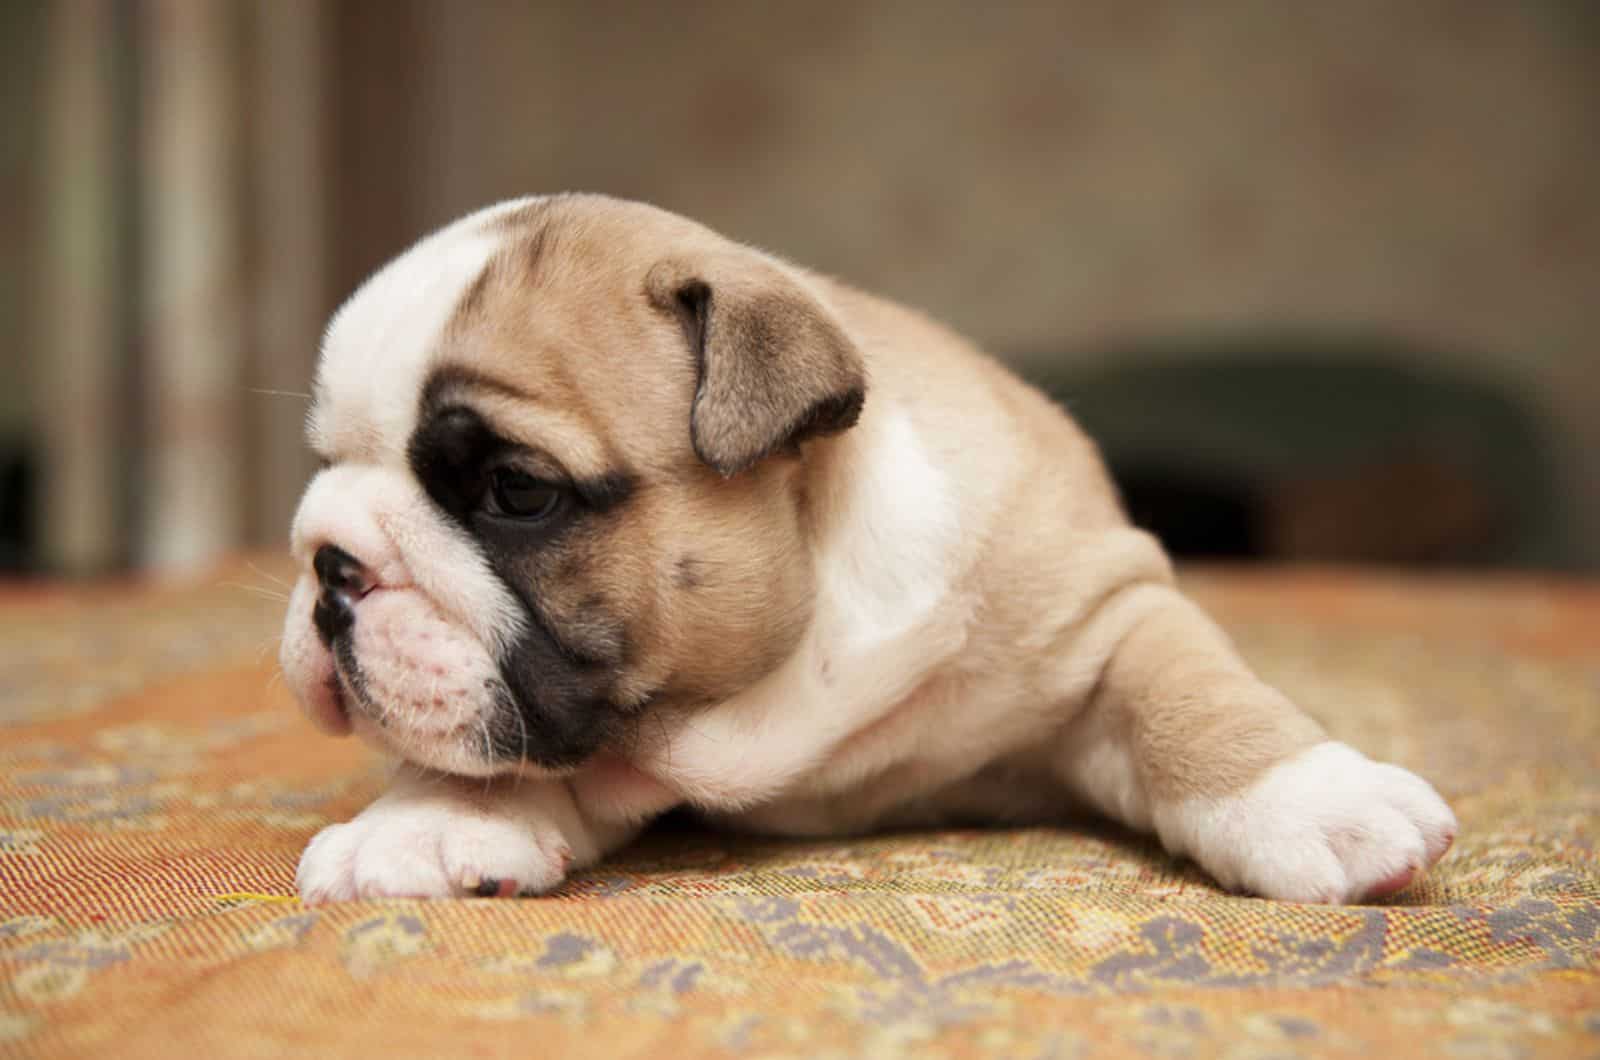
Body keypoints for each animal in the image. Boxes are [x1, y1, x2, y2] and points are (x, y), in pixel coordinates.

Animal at [281, 192, 1459, 903]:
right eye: (322, 467)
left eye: (515, 491)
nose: (329, 566)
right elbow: (482, 745)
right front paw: (431, 817)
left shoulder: (1108, 609)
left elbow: (1189, 694)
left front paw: (1310, 798)